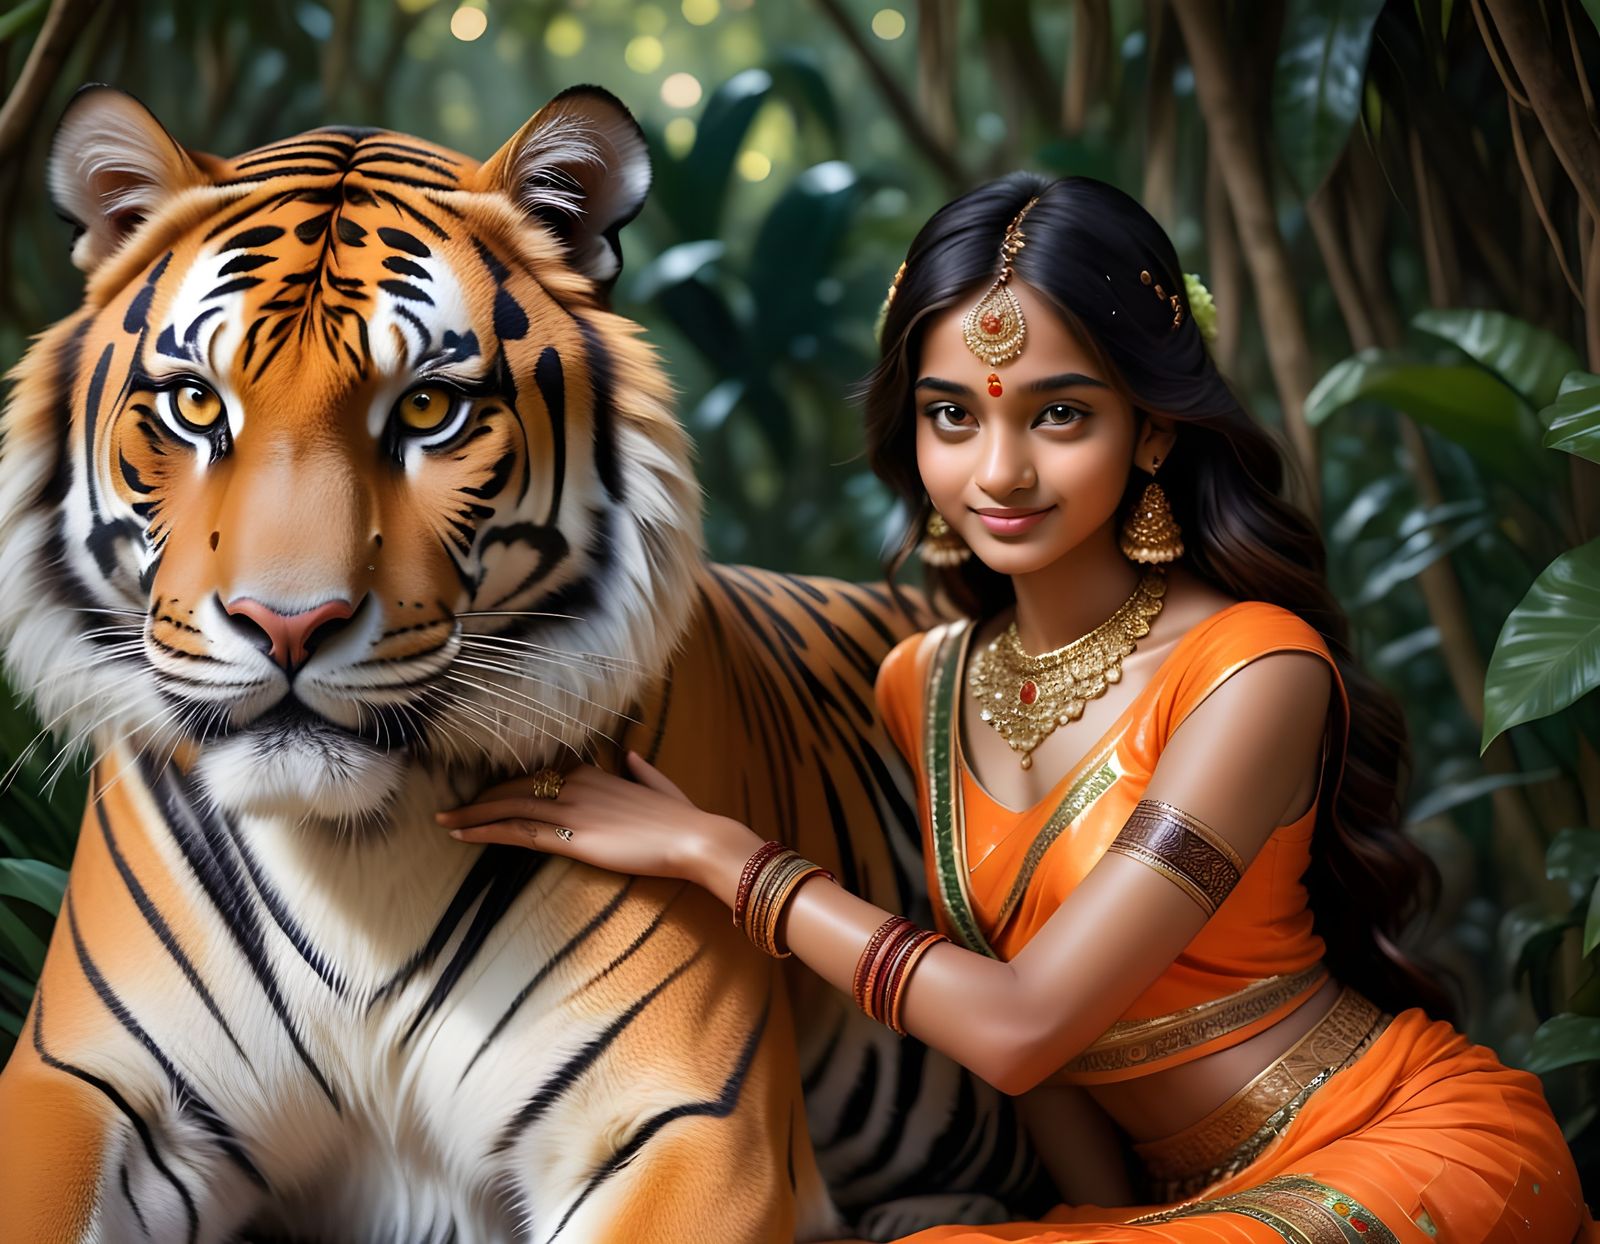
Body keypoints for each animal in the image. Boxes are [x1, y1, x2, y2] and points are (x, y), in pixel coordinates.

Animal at [0, 84, 1049, 1242]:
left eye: (426, 407)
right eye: (196, 404)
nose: (288, 624)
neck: (352, 854)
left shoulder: (684, 1119)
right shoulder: (83, 1083)